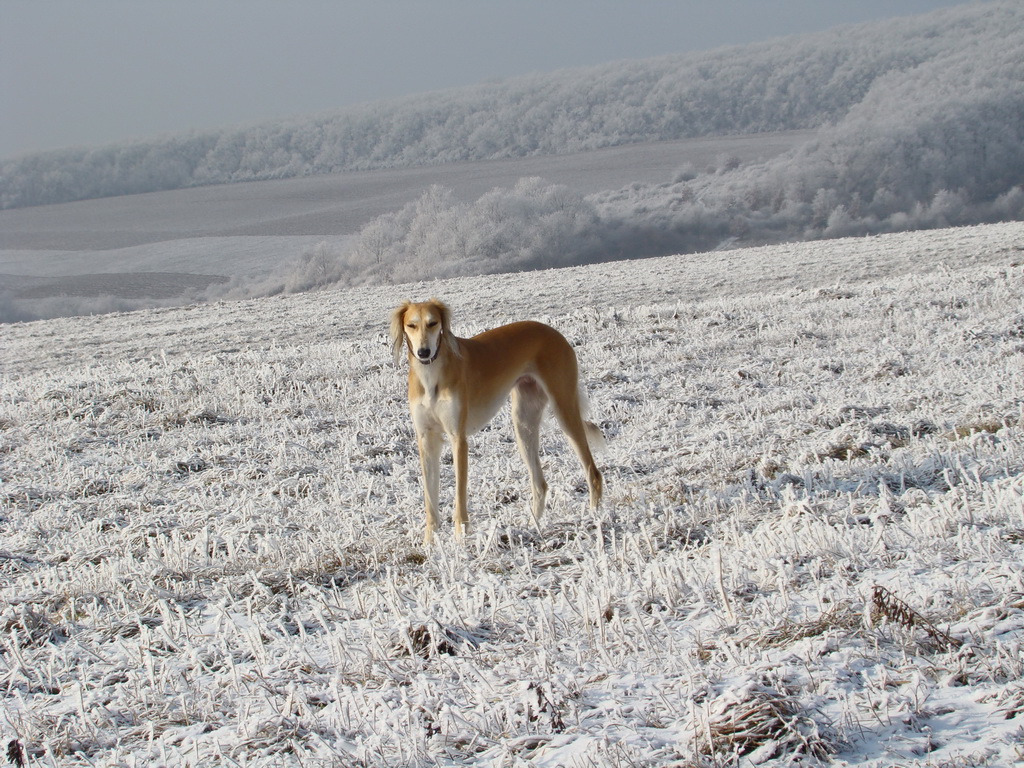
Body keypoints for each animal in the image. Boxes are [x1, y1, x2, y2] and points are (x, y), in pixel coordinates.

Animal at [389, 296, 598, 544]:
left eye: (433, 323)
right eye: (411, 325)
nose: (423, 352)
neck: (431, 376)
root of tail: (553, 332)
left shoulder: (458, 438)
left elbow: (460, 494)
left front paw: (460, 540)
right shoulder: (426, 439)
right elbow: (430, 499)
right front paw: (430, 543)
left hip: (564, 411)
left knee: (593, 472)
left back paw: (597, 517)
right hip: (523, 423)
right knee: (540, 484)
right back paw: (533, 527)